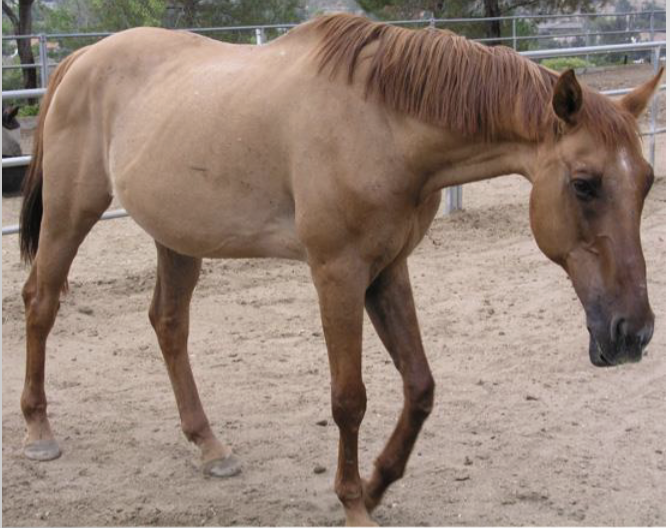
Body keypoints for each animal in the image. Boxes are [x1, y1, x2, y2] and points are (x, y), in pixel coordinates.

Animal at [17, 14, 662, 526]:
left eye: (647, 182)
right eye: (584, 184)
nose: (632, 334)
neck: (382, 124)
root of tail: (80, 60)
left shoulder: (388, 269)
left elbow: (420, 386)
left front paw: (377, 485)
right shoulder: (338, 274)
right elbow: (349, 399)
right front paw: (353, 503)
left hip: (177, 236)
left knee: (169, 325)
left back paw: (210, 446)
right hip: (72, 214)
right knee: (41, 301)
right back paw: (39, 432)